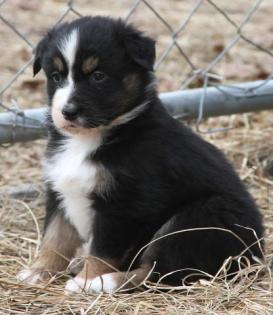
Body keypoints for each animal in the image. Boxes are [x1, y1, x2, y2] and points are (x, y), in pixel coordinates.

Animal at [17, 17, 262, 294]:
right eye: (56, 77)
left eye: (98, 76)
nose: (67, 112)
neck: (91, 139)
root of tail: (257, 251)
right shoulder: (58, 191)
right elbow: (54, 237)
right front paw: (39, 272)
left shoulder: (124, 203)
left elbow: (102, 250)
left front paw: (85, 280)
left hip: (198, 218)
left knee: (155, 270)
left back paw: (104, 282)